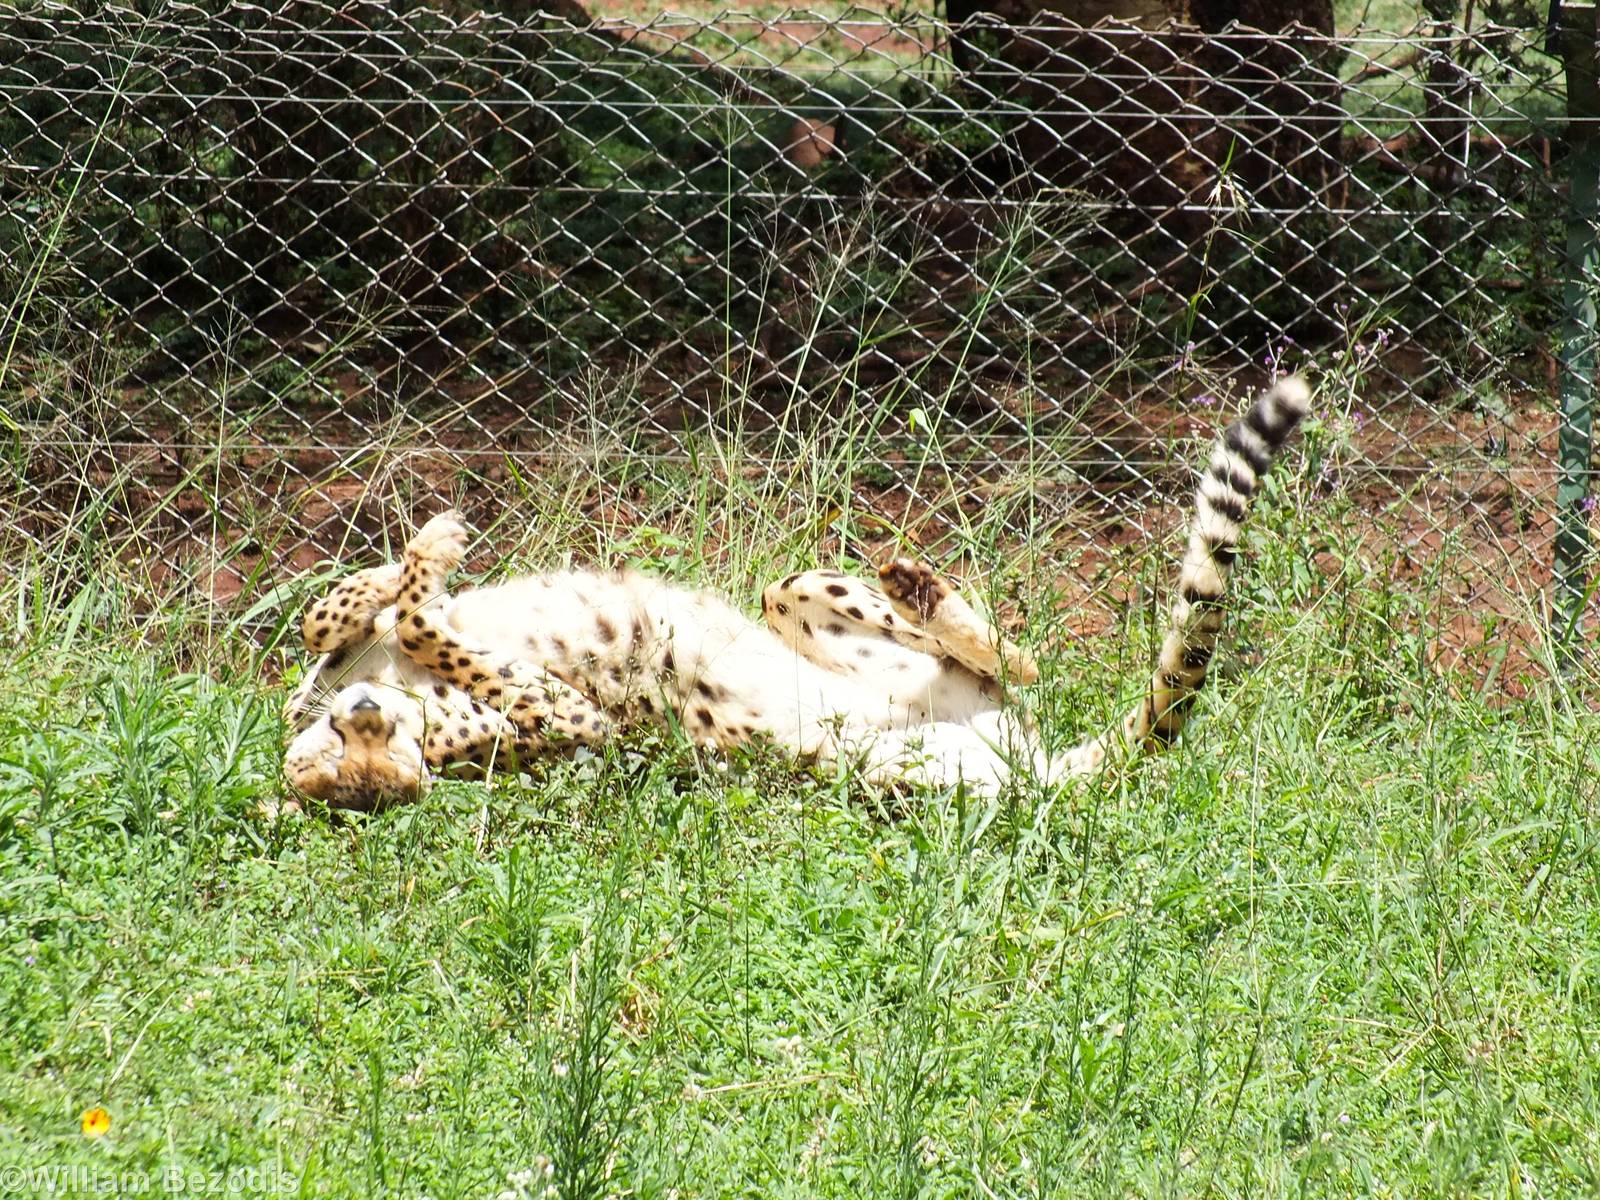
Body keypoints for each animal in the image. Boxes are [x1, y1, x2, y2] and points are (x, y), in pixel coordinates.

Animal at [282, 376, 1310, 811]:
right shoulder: (571, 721)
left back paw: (923, 586)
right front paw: (426, 563)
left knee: (997, 652)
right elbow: (422, 627)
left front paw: (408, 563)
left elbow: (327, 612)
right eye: (347, 776)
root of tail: (1029, 767)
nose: (365, 717)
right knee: (1016, 677)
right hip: (880, 756)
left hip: (805, 601)